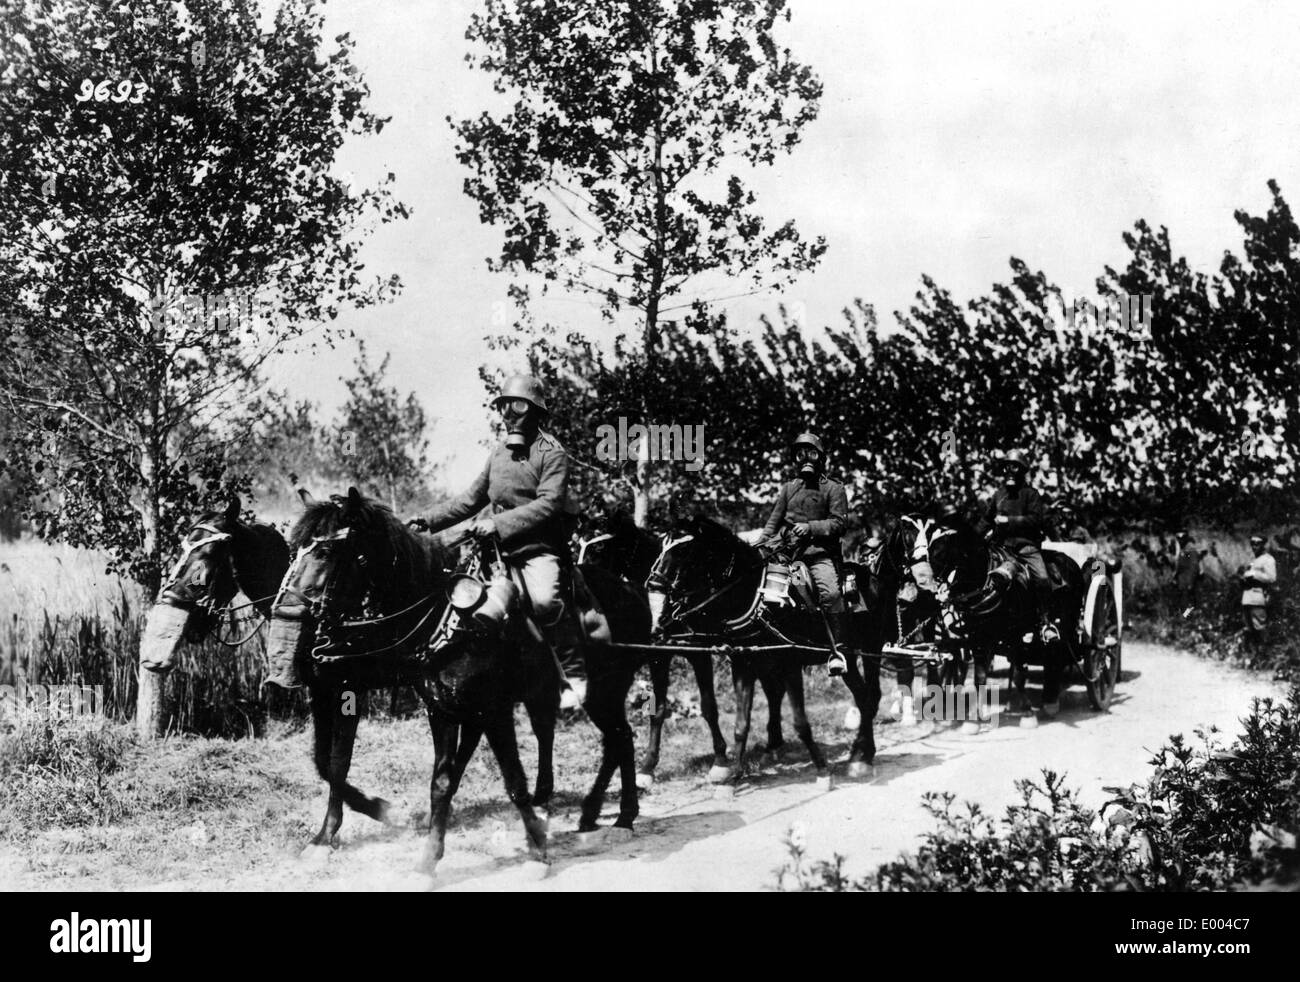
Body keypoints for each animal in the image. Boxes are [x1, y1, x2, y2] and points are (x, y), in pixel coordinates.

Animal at [647, 515, 883, 785]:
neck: (755, 595)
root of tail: (872, 577)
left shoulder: (790, 664)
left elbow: (800, 722)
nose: (652, 583)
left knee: (870, 697)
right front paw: (732, 777)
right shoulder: (744, 662)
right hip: (850, 660)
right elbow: (741, 724)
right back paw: (860, 755)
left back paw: (862, 759)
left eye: (683, 549)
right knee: (863, 697)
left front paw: (822, 770)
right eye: (662, 544)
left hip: (872, 650)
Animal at [925, 509, 1086, 717]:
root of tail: (1071, 563)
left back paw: (1051, 700)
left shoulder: (1015, 633)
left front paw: (1026, 708)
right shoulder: (978, 636)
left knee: (1057, 655)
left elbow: (1019, 672)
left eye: (942, 546)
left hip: (1067, 621)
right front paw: (977, 715)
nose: (924, 579)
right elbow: (980, 676)